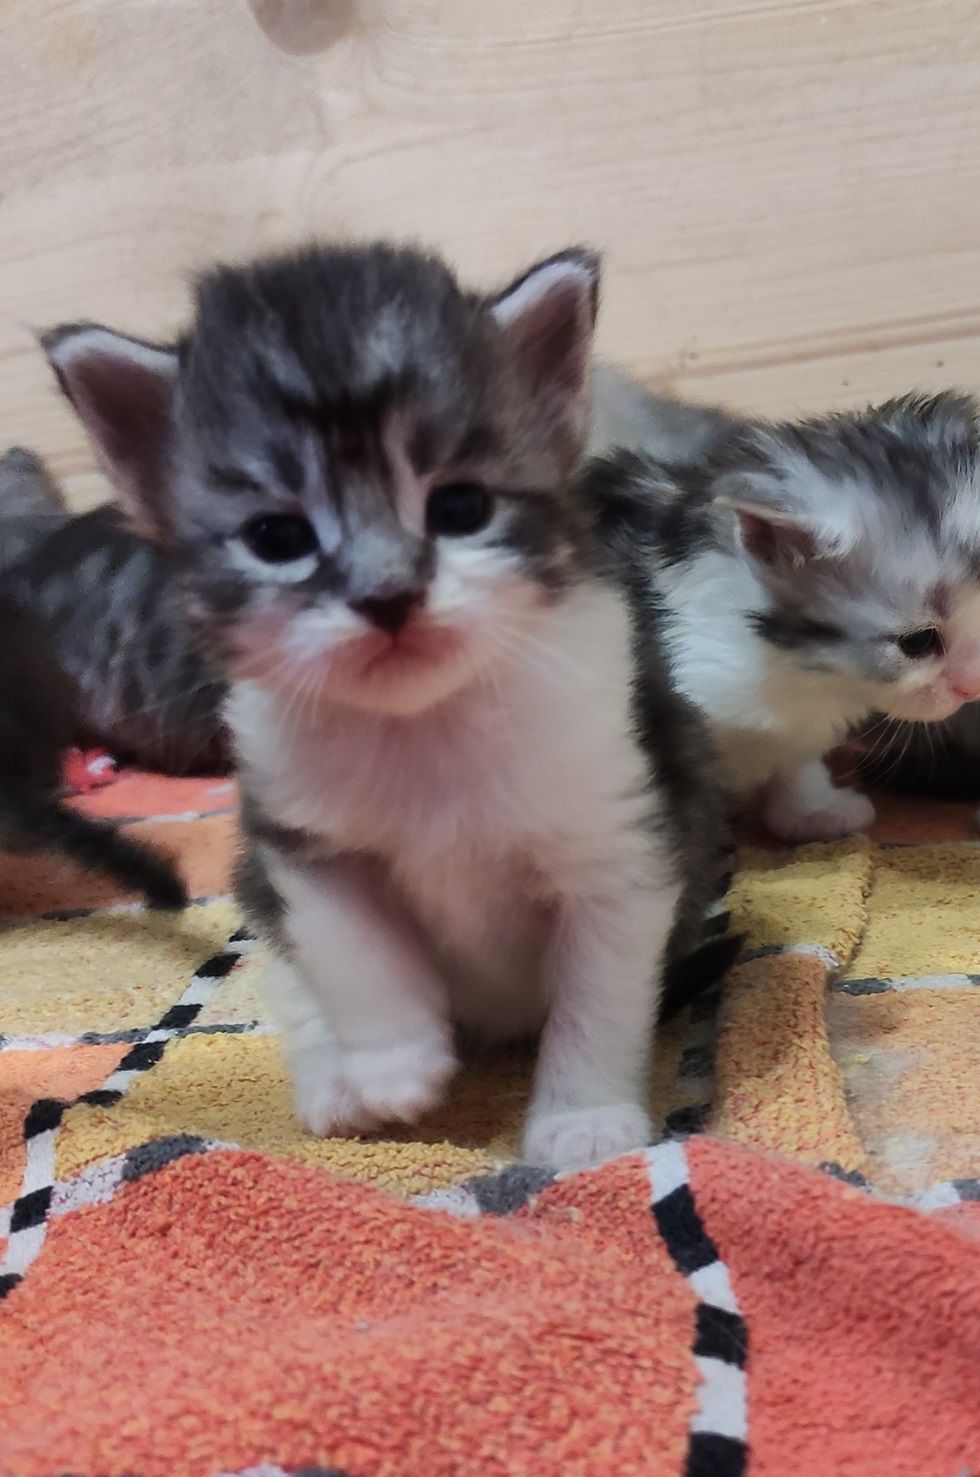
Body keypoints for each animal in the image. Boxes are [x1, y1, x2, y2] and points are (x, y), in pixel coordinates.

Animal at [43, 240, 732, 1170]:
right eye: (278, 537)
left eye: (461, 507)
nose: (389, 596)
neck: (424, 722)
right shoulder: (300, 836)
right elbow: (353, 953)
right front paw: (393, 1066)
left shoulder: (619, 839)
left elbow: (599, 997)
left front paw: (583, 1119)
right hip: (255, 885)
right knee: (294, 977)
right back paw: (332, 1075)